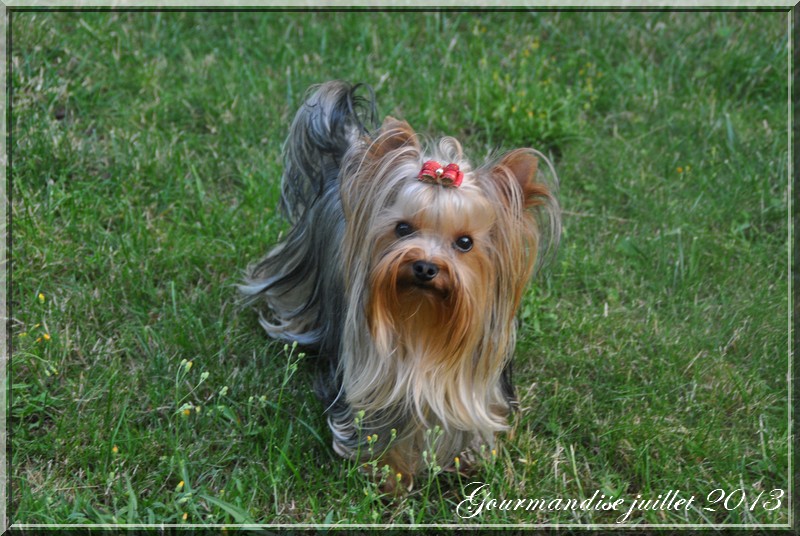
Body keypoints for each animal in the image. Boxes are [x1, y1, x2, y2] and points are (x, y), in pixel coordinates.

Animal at [241, 82, 560, 490]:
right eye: (403, 228)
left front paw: (466, 464)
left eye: (465, 243)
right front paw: (388, 477)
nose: (425, 267)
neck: (422, 323)